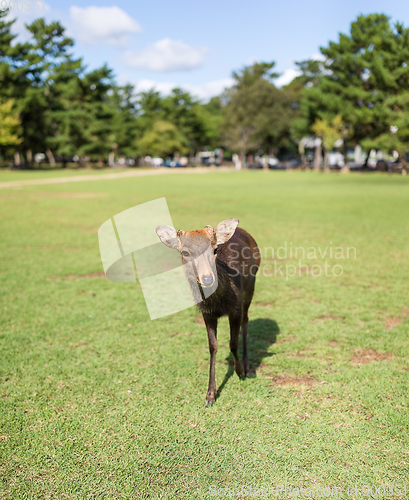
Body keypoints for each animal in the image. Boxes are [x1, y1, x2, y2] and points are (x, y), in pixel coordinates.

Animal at [155, 219, 260, 406]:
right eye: (185, 252)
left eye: (215, 249)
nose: (207, 278)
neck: (219, 303)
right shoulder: (207, 313)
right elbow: (213, 346)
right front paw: (210, 395)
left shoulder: (235, 308)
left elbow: (233, 343)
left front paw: (240, 371)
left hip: (250, 287)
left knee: (246, 321)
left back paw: (247, 368)